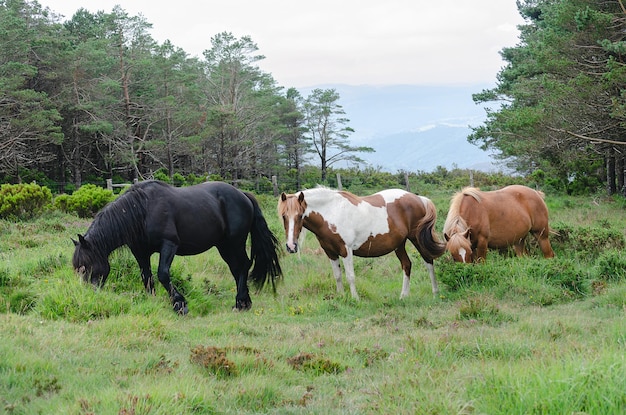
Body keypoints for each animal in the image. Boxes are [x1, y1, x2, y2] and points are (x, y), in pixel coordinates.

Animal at [70, 180, 280, 314]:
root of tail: (243, 195)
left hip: (234, 243)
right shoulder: (140, 251)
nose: (89, 295)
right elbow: (146, 277)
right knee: (237, 268)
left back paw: (240, 302)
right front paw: (152, 300)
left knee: (243, 266)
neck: (142, 210)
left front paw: (180, 304)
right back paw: (244, 302)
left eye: (85, 267)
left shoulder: (169, 245)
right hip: (224, 246)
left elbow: (162, 274)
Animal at [276, 188, 444, 300]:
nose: (291, 246)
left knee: (428, 262)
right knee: (407, 265)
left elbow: (350, 276)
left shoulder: (346, 250)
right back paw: (403, 296)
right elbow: (337, 275)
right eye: (284, 216)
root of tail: (420, 199)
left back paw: (435, 293)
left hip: (416, 239)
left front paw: (355, 299)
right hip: (399, 244)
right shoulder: (330, 252)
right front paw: (341, 296)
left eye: (300, 215)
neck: (332, 212)